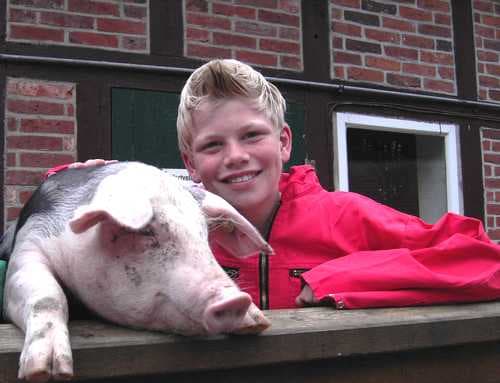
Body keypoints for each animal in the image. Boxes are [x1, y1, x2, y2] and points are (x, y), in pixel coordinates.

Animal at [0, 160, 274, 382]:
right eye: (146, 231)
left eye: (203, 235)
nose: (235, 300)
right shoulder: (27, 247)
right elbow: (48, 295)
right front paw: (45, 372)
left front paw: (256, 322)